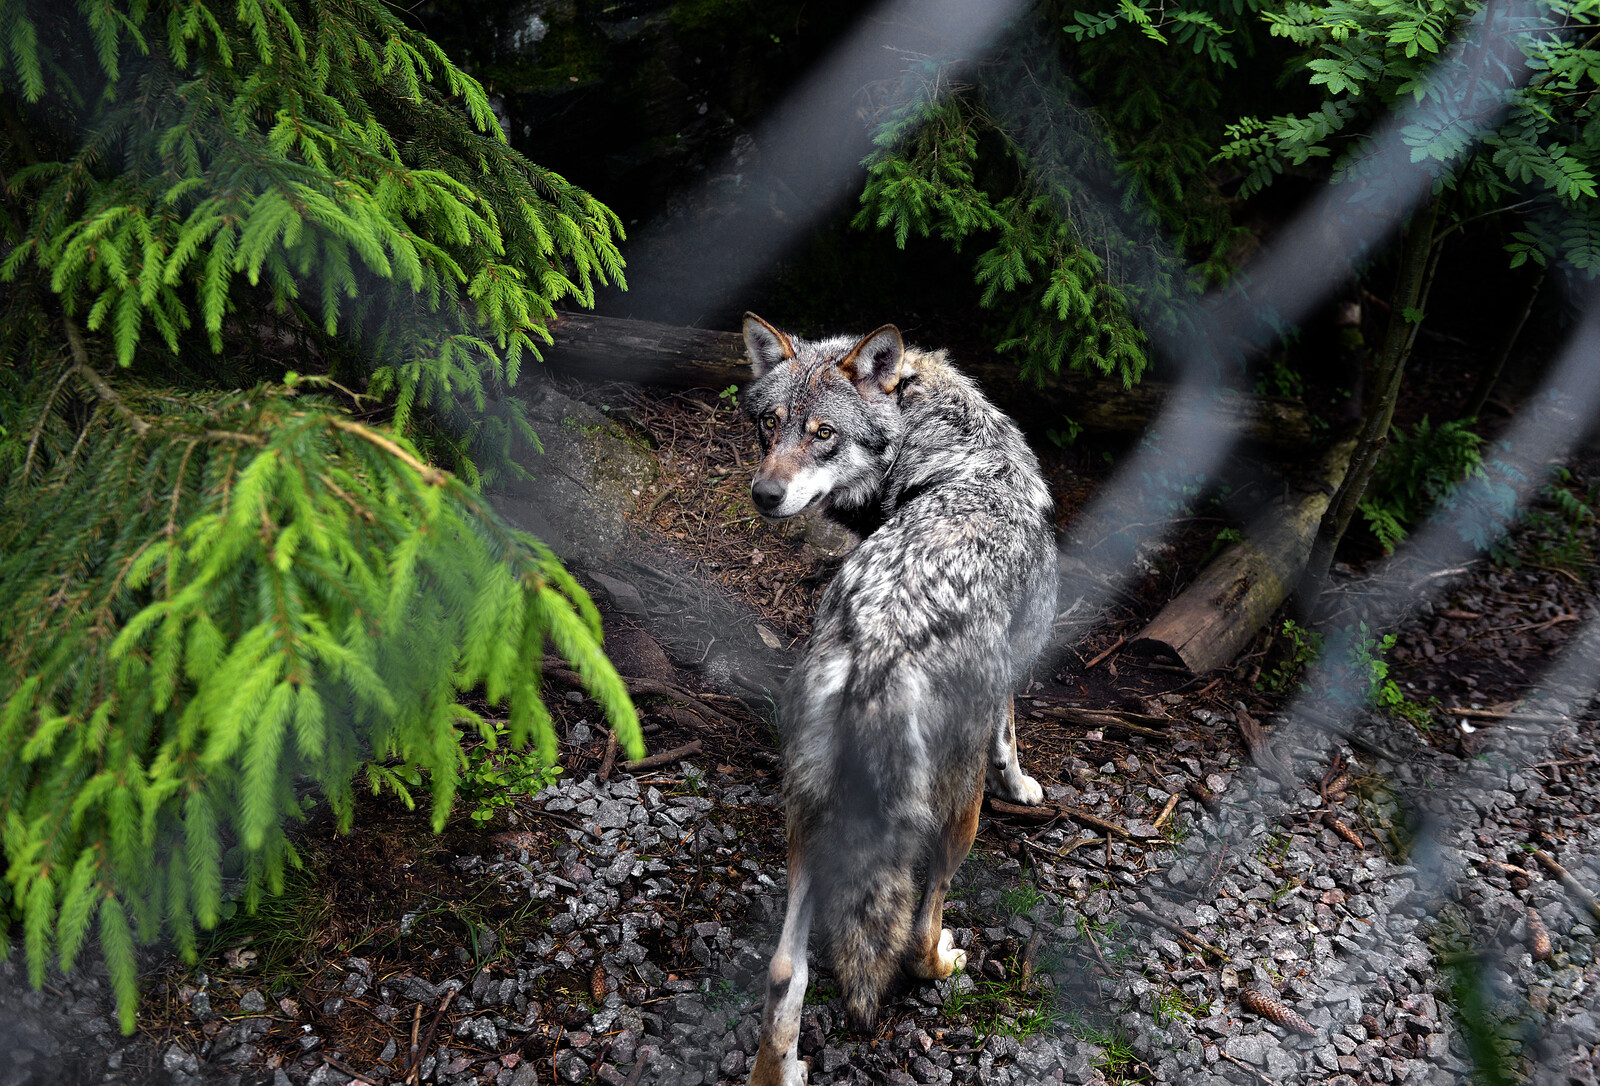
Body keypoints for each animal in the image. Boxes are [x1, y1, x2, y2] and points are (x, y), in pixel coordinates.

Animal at [738, 313, 1058, 1086]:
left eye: (823, 432)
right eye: (770, 424)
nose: (764, 494)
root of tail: (878, 656)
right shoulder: (1015, 666)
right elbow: (1011, 732)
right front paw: (1025, 784)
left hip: (808, 824)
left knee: (786, 969)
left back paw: (780, 1070)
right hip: (955, 820)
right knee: (914, 935)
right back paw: (945, 961)